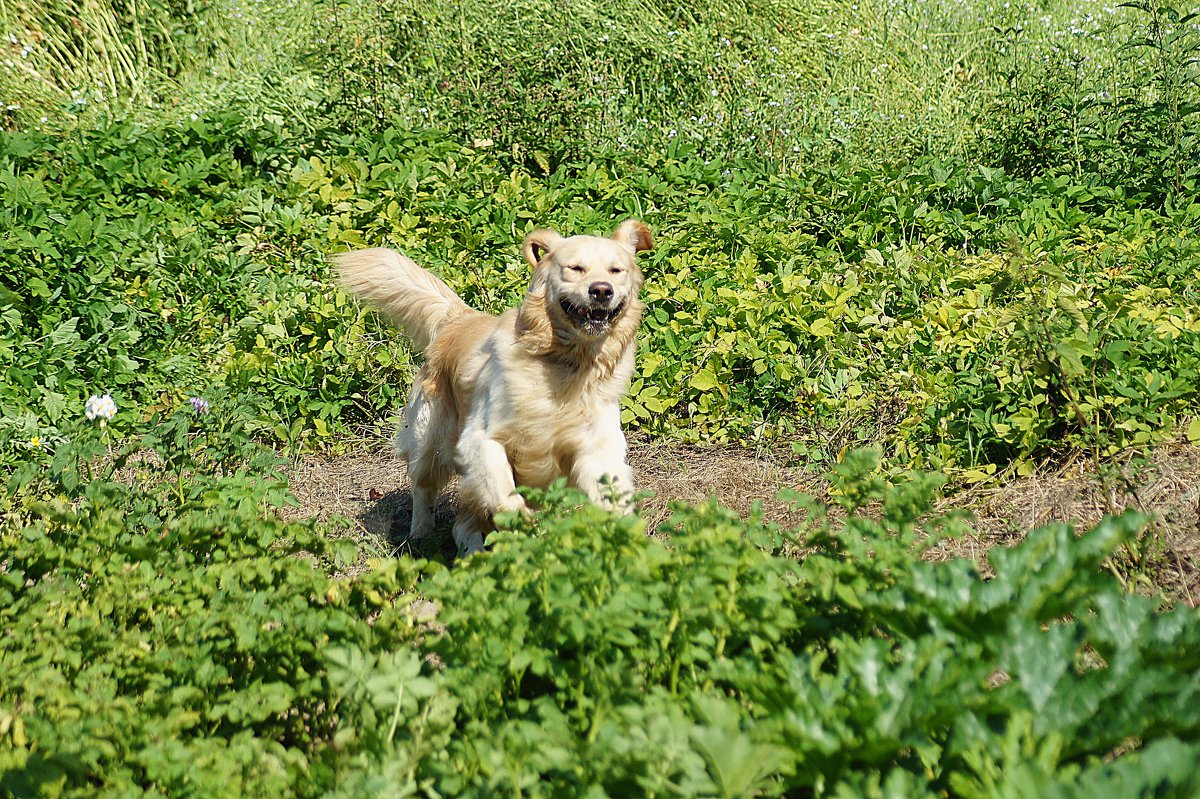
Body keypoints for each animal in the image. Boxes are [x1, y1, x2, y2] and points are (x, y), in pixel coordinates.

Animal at [338, 218, 652, 554]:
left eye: (616, 270)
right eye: (576, 268)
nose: (602, 291)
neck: (563, 362)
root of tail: (459, 318)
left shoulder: (596, 449)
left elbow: (612, 499)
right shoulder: (480, 441)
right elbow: (505, 498)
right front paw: (526, 528)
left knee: (463, 522)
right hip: (430, 437)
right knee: (425, 487)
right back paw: (424, 535)